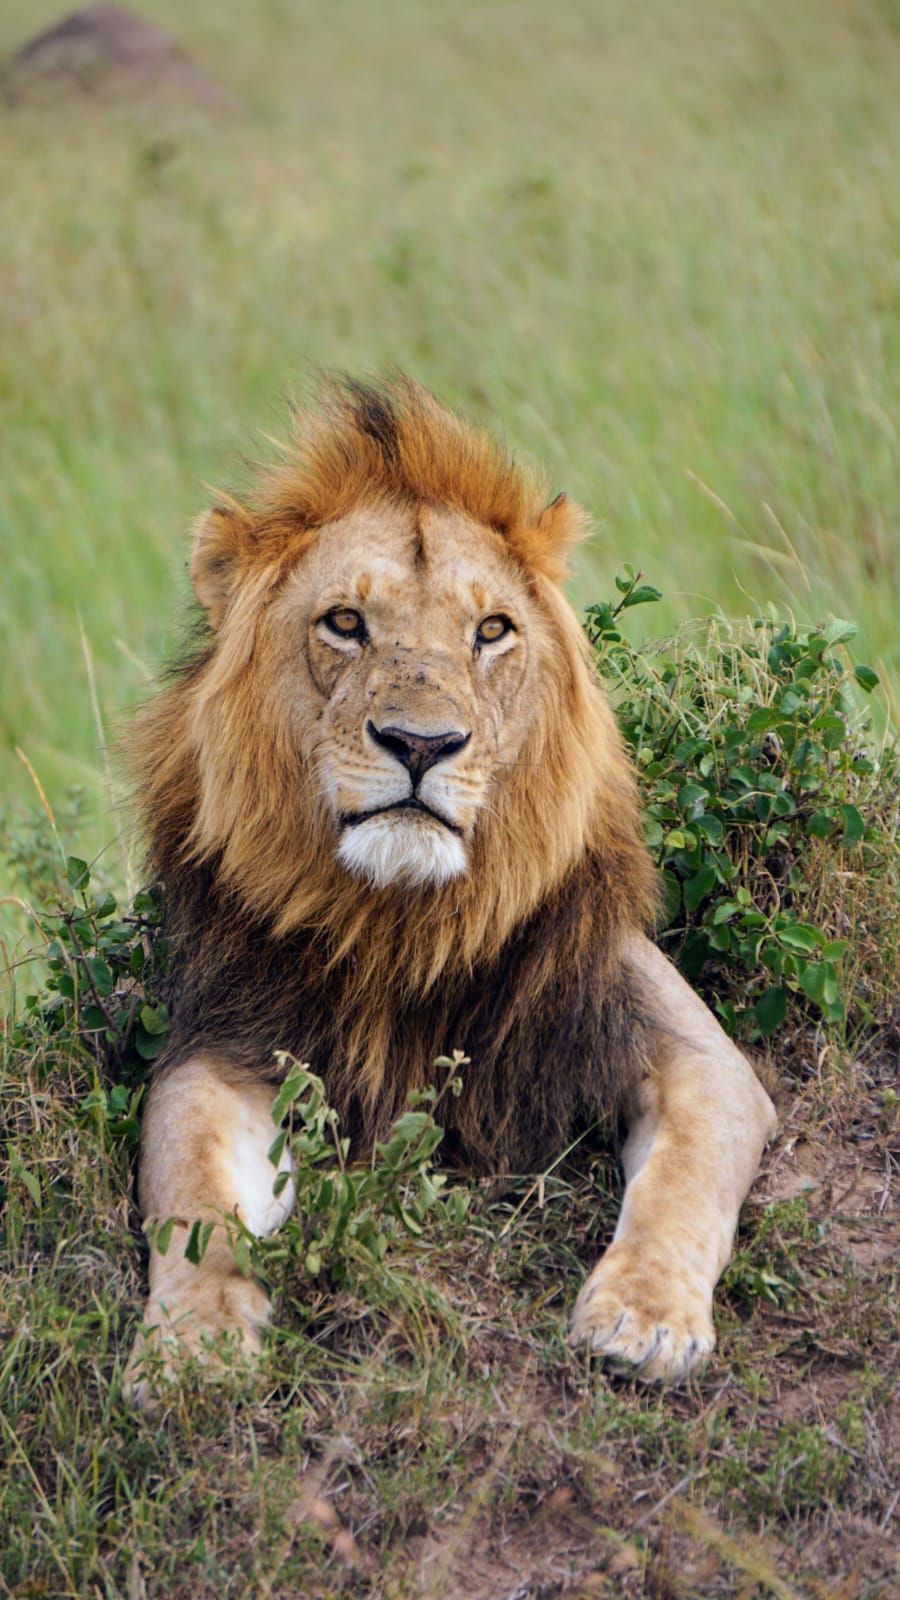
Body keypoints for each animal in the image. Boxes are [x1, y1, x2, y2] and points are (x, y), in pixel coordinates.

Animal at [123, 375, 776, 1404]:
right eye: (345, 623)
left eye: (491, 631)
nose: (421, 744)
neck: (401, 919)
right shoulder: (223, 1049)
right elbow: (189, 1194)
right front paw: (193, 1344)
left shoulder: (684, 1048)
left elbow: (684, 1175)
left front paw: (643, 1319)